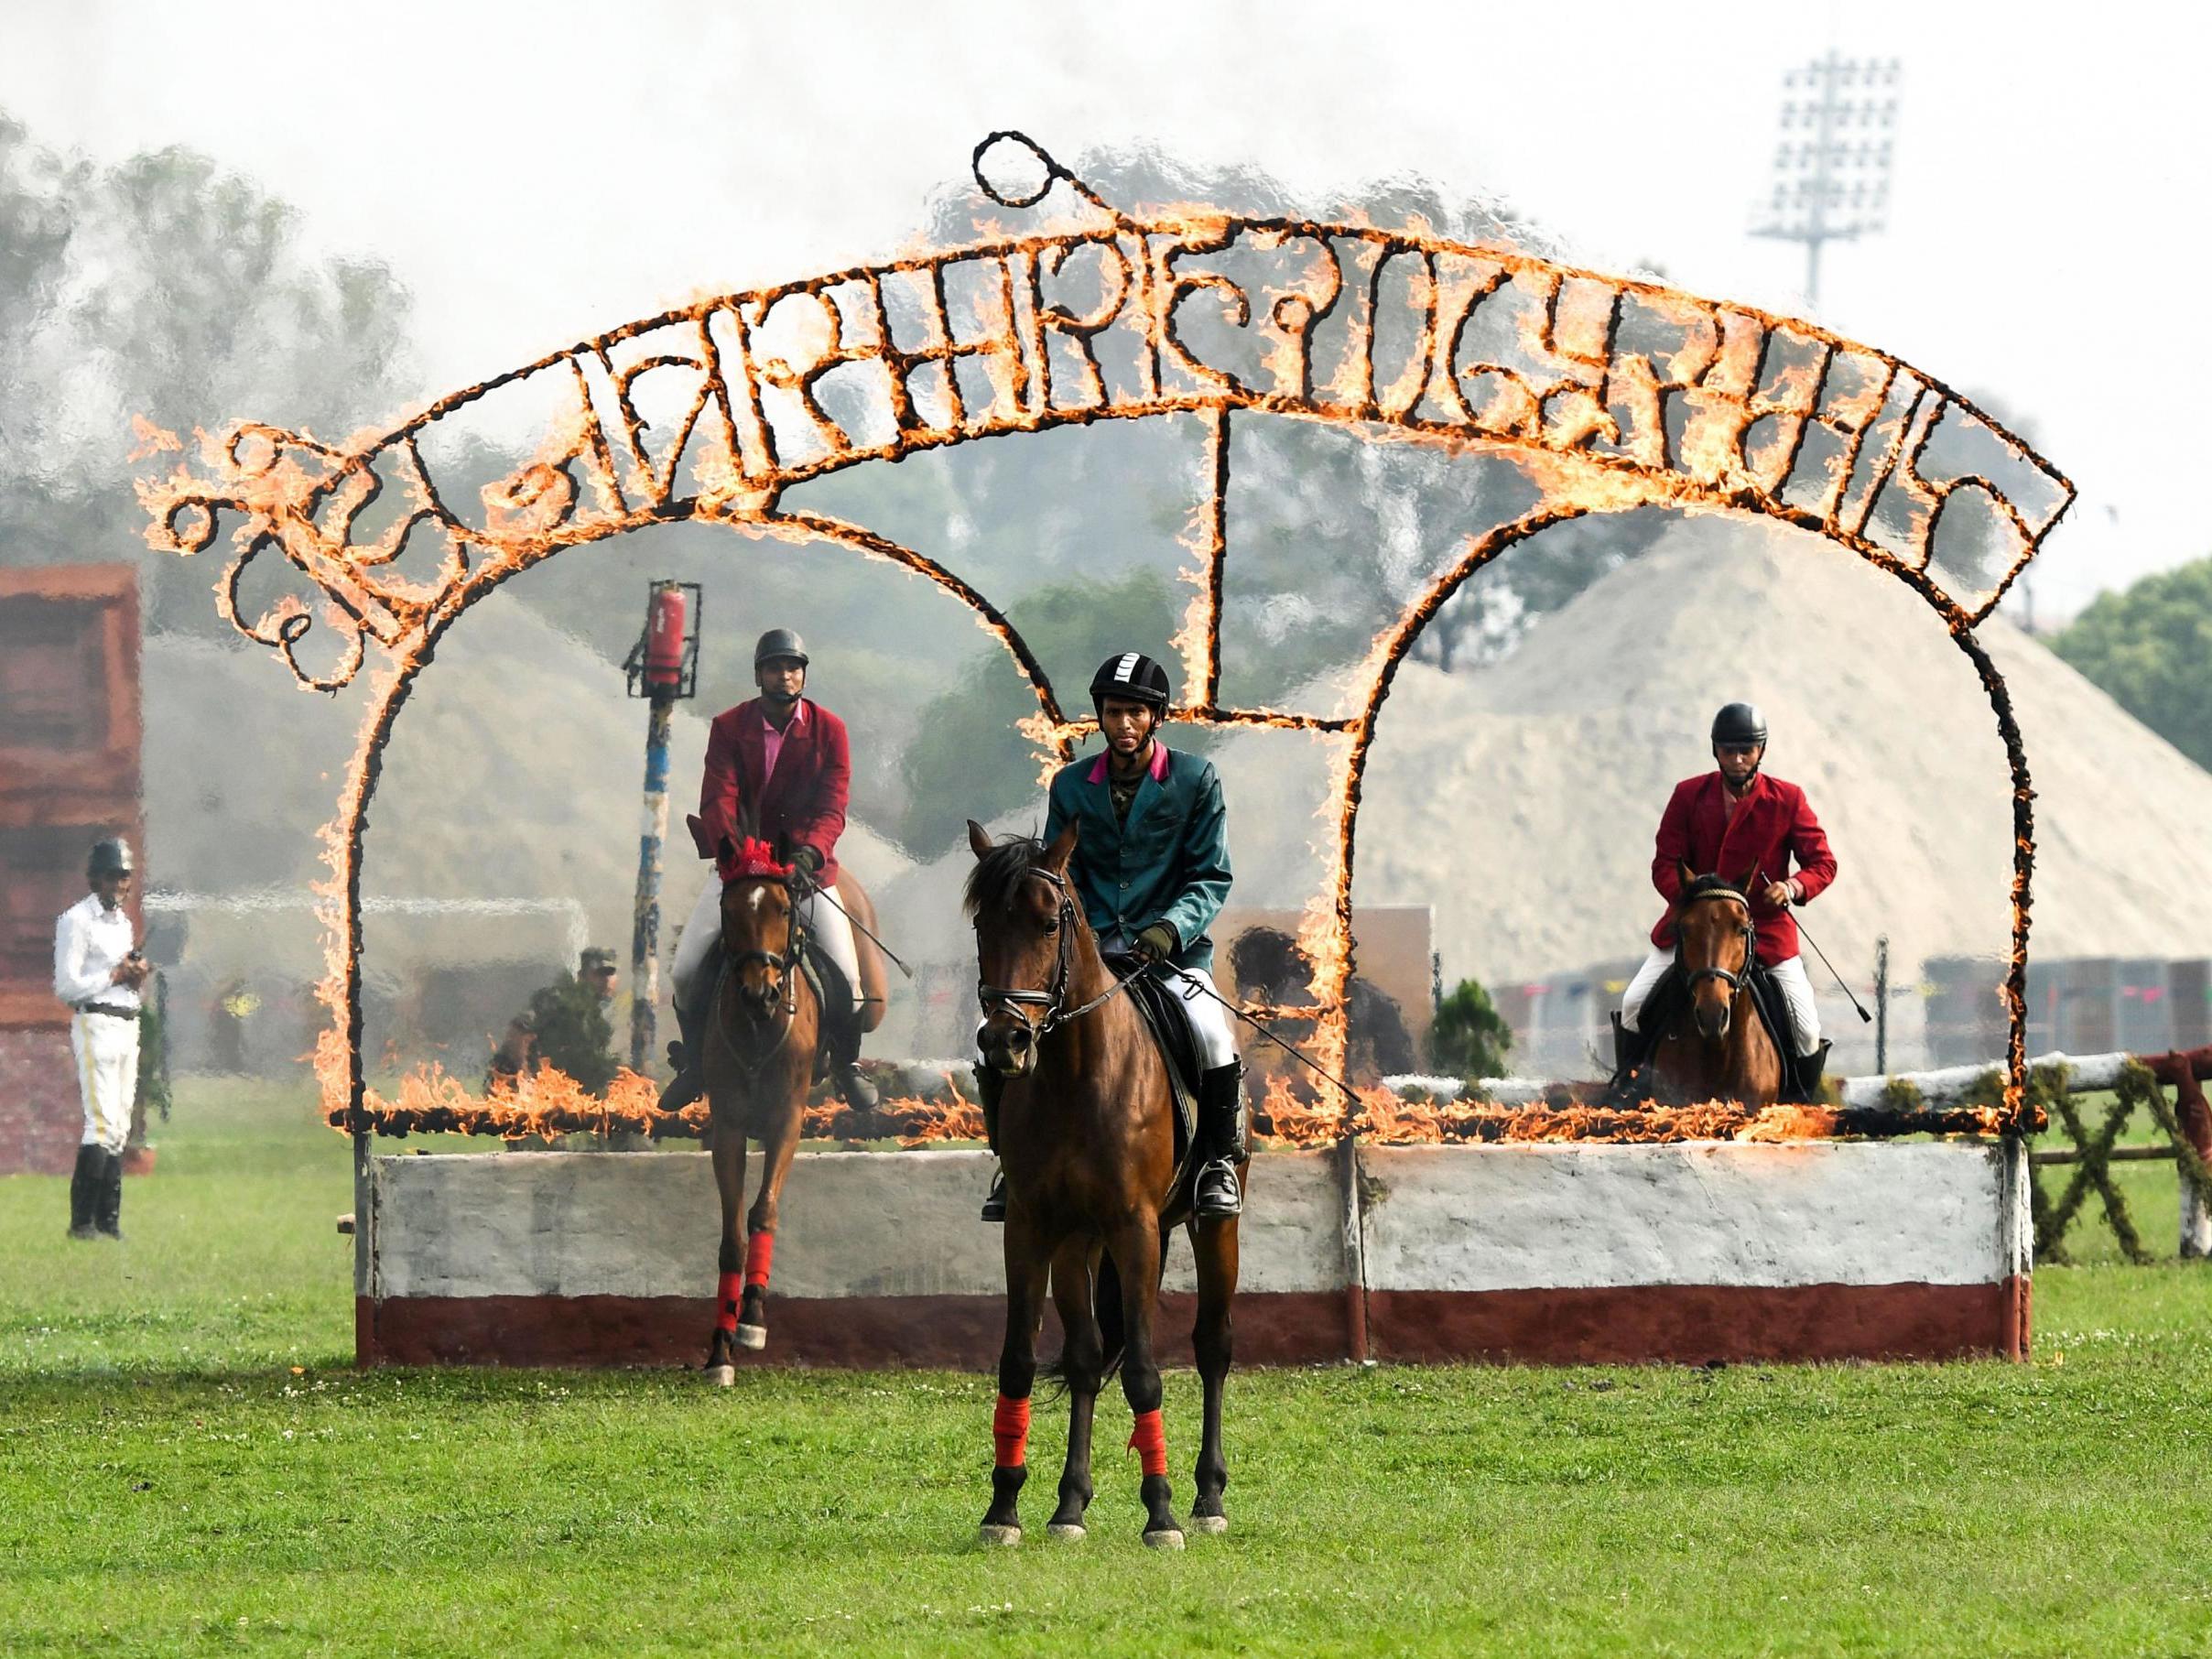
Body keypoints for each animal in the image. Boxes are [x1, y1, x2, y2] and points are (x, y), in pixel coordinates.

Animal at [964, 827, 1247, 1556]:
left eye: (1048, 923)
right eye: (983, 925)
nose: (1004, 1041)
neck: (1073, 1073)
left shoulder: (1134, 1227)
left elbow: (1146, 1371)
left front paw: (1161, 1515)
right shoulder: (1031, 1226)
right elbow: (1020, 1361)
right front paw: (1003, 1509)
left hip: (1211, 1227)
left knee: (1213, 1346)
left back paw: (1208, 1498)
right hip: (1078, 1244)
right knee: (1088, 1358)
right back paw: (1070, 1506)